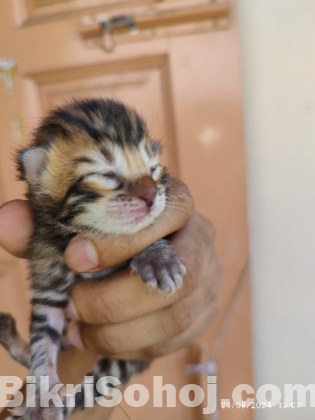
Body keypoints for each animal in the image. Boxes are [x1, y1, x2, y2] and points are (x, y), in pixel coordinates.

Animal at [0, 99, 185, 420]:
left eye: (153, 170)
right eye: (107, 175)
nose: (151, 195)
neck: (81, 232)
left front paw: (156, 257)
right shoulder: (48, 282)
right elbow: (42, 339)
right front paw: (43, 394)